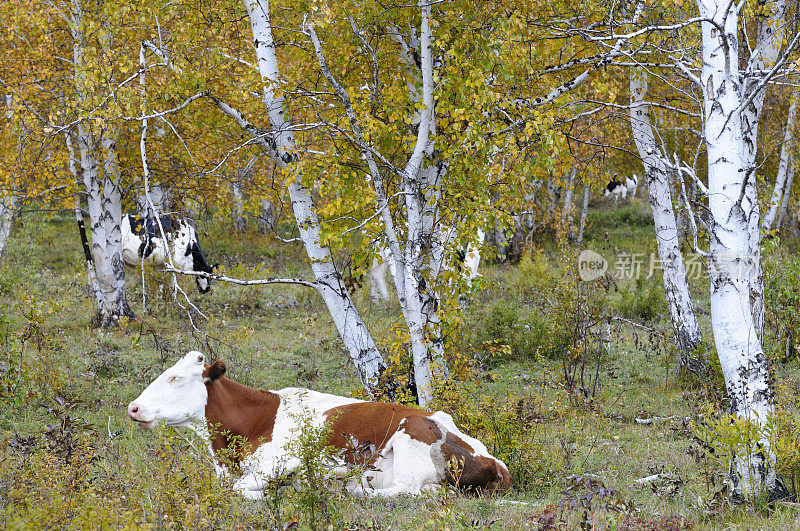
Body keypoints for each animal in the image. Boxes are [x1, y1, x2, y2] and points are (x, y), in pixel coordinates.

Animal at [127, 354, 510, 498]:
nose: (133, 407)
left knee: (409, 490)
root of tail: (496, 462)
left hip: (410, 438)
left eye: (175, 378)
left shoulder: (282, 460)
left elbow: (240, 490)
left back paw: (352, 489)